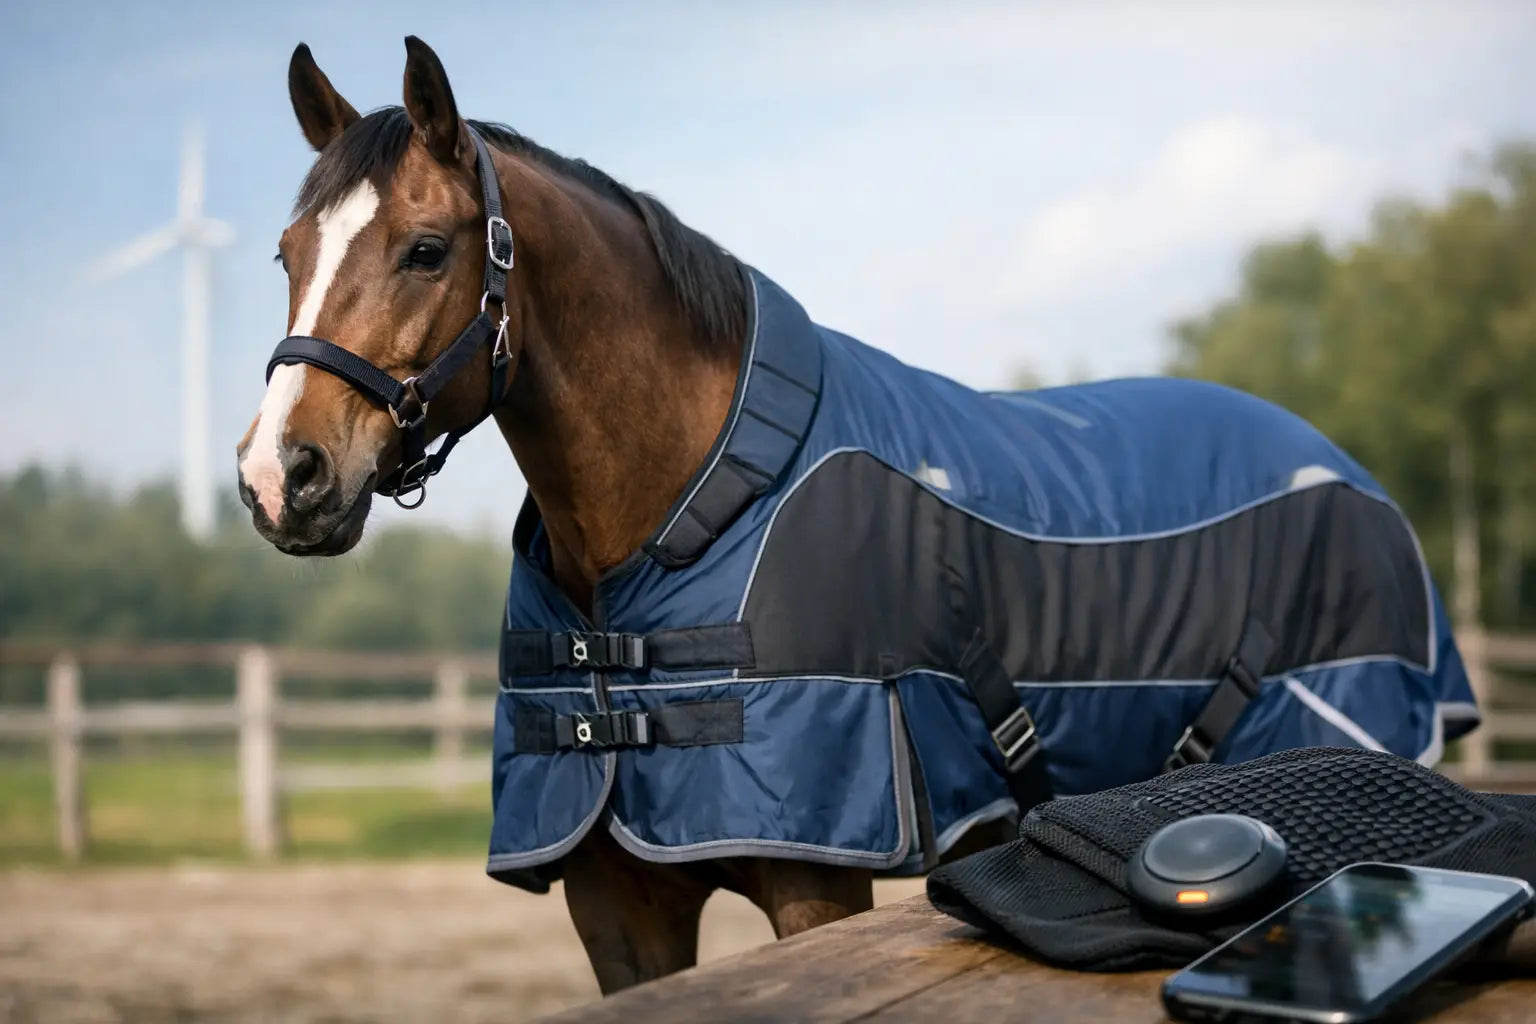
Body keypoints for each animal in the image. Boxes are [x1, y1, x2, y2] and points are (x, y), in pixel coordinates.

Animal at [237, 37, 1480, 996]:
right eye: (287, 253)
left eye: (425, 250)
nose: (279, 475)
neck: (688, 513)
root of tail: (1348, 470)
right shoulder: (615, 901)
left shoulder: (815, 877)